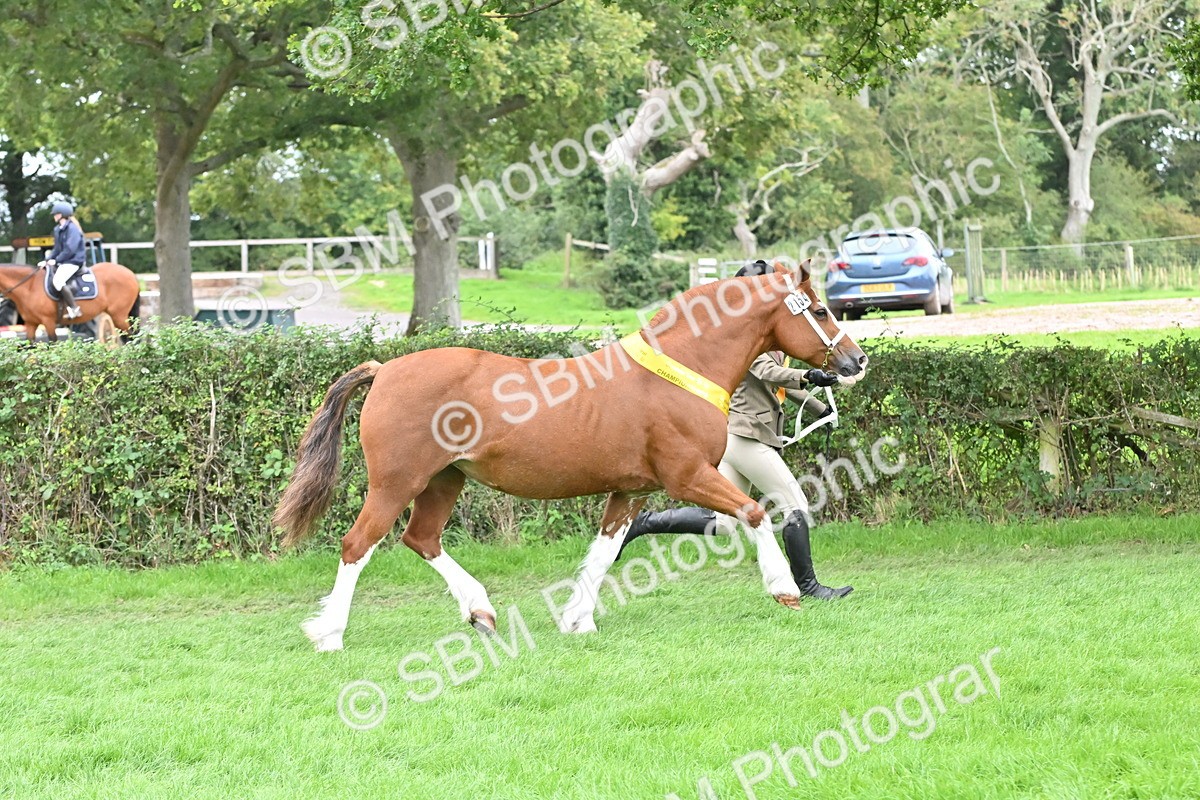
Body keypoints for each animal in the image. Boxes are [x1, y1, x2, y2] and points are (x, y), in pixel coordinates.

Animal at [0, 262, 141, 343]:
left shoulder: (48, 321)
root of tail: (130, 273)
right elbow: (28, 347)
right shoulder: (31, 323)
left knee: (131, 337)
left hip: (119, 316)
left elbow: (52, 343)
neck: (30, 286)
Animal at [274, 262, 868, 651]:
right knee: (358, 545)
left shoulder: (631, 490)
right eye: (819, 309)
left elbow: (604, 552)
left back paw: (481, 611)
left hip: (445, 480)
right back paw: (329, 634)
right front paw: (785, 590)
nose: (855, 360)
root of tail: (385, 369)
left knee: (421, 539)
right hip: (397, 482)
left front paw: (577, 619)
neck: (678, 370)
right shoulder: (686, 476)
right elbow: (754, 513)